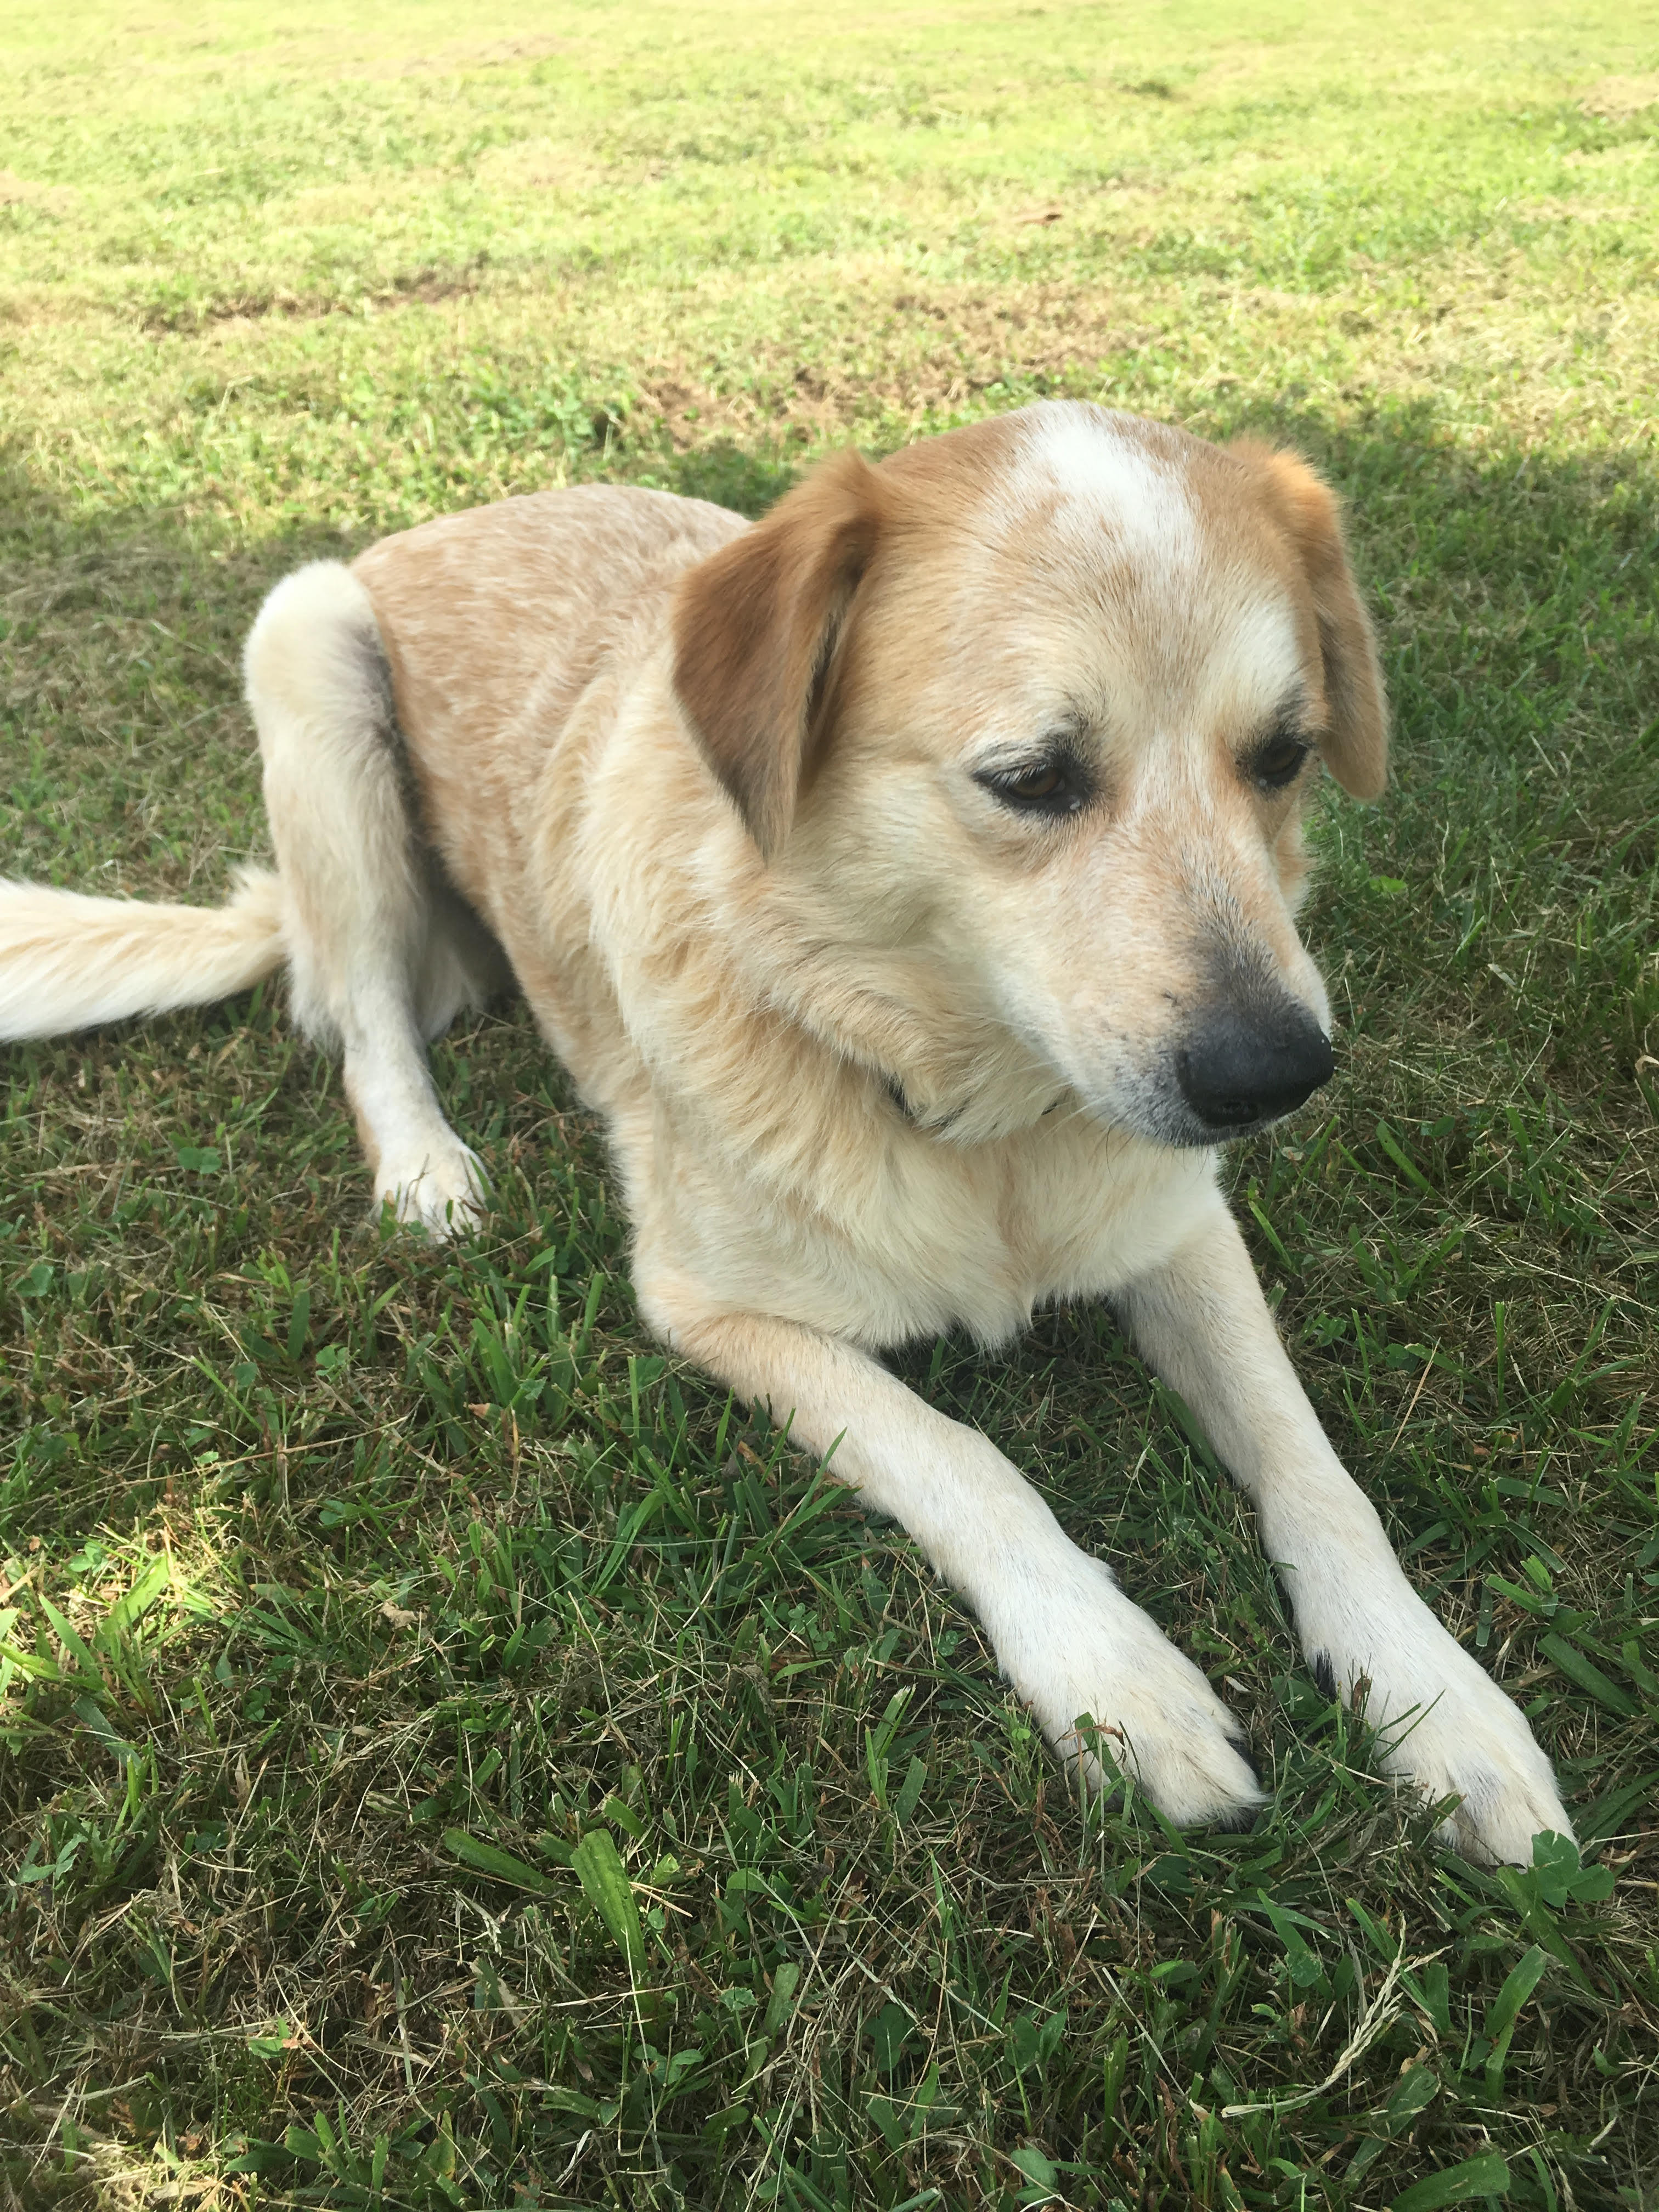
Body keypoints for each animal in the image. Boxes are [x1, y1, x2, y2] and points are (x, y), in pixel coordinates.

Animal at [0, 402, 1575, 1867]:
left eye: (1284, 755)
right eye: (1033, 778)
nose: (1278, 1075)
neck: (975, 1120)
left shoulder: (1183, 1231)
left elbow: (1317, 1472)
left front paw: (1440, 1704)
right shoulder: (713, 1310)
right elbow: (962, 1457)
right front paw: (1117, 1676)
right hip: (308, 658)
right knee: (363, 1020)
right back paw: (428, 1168)